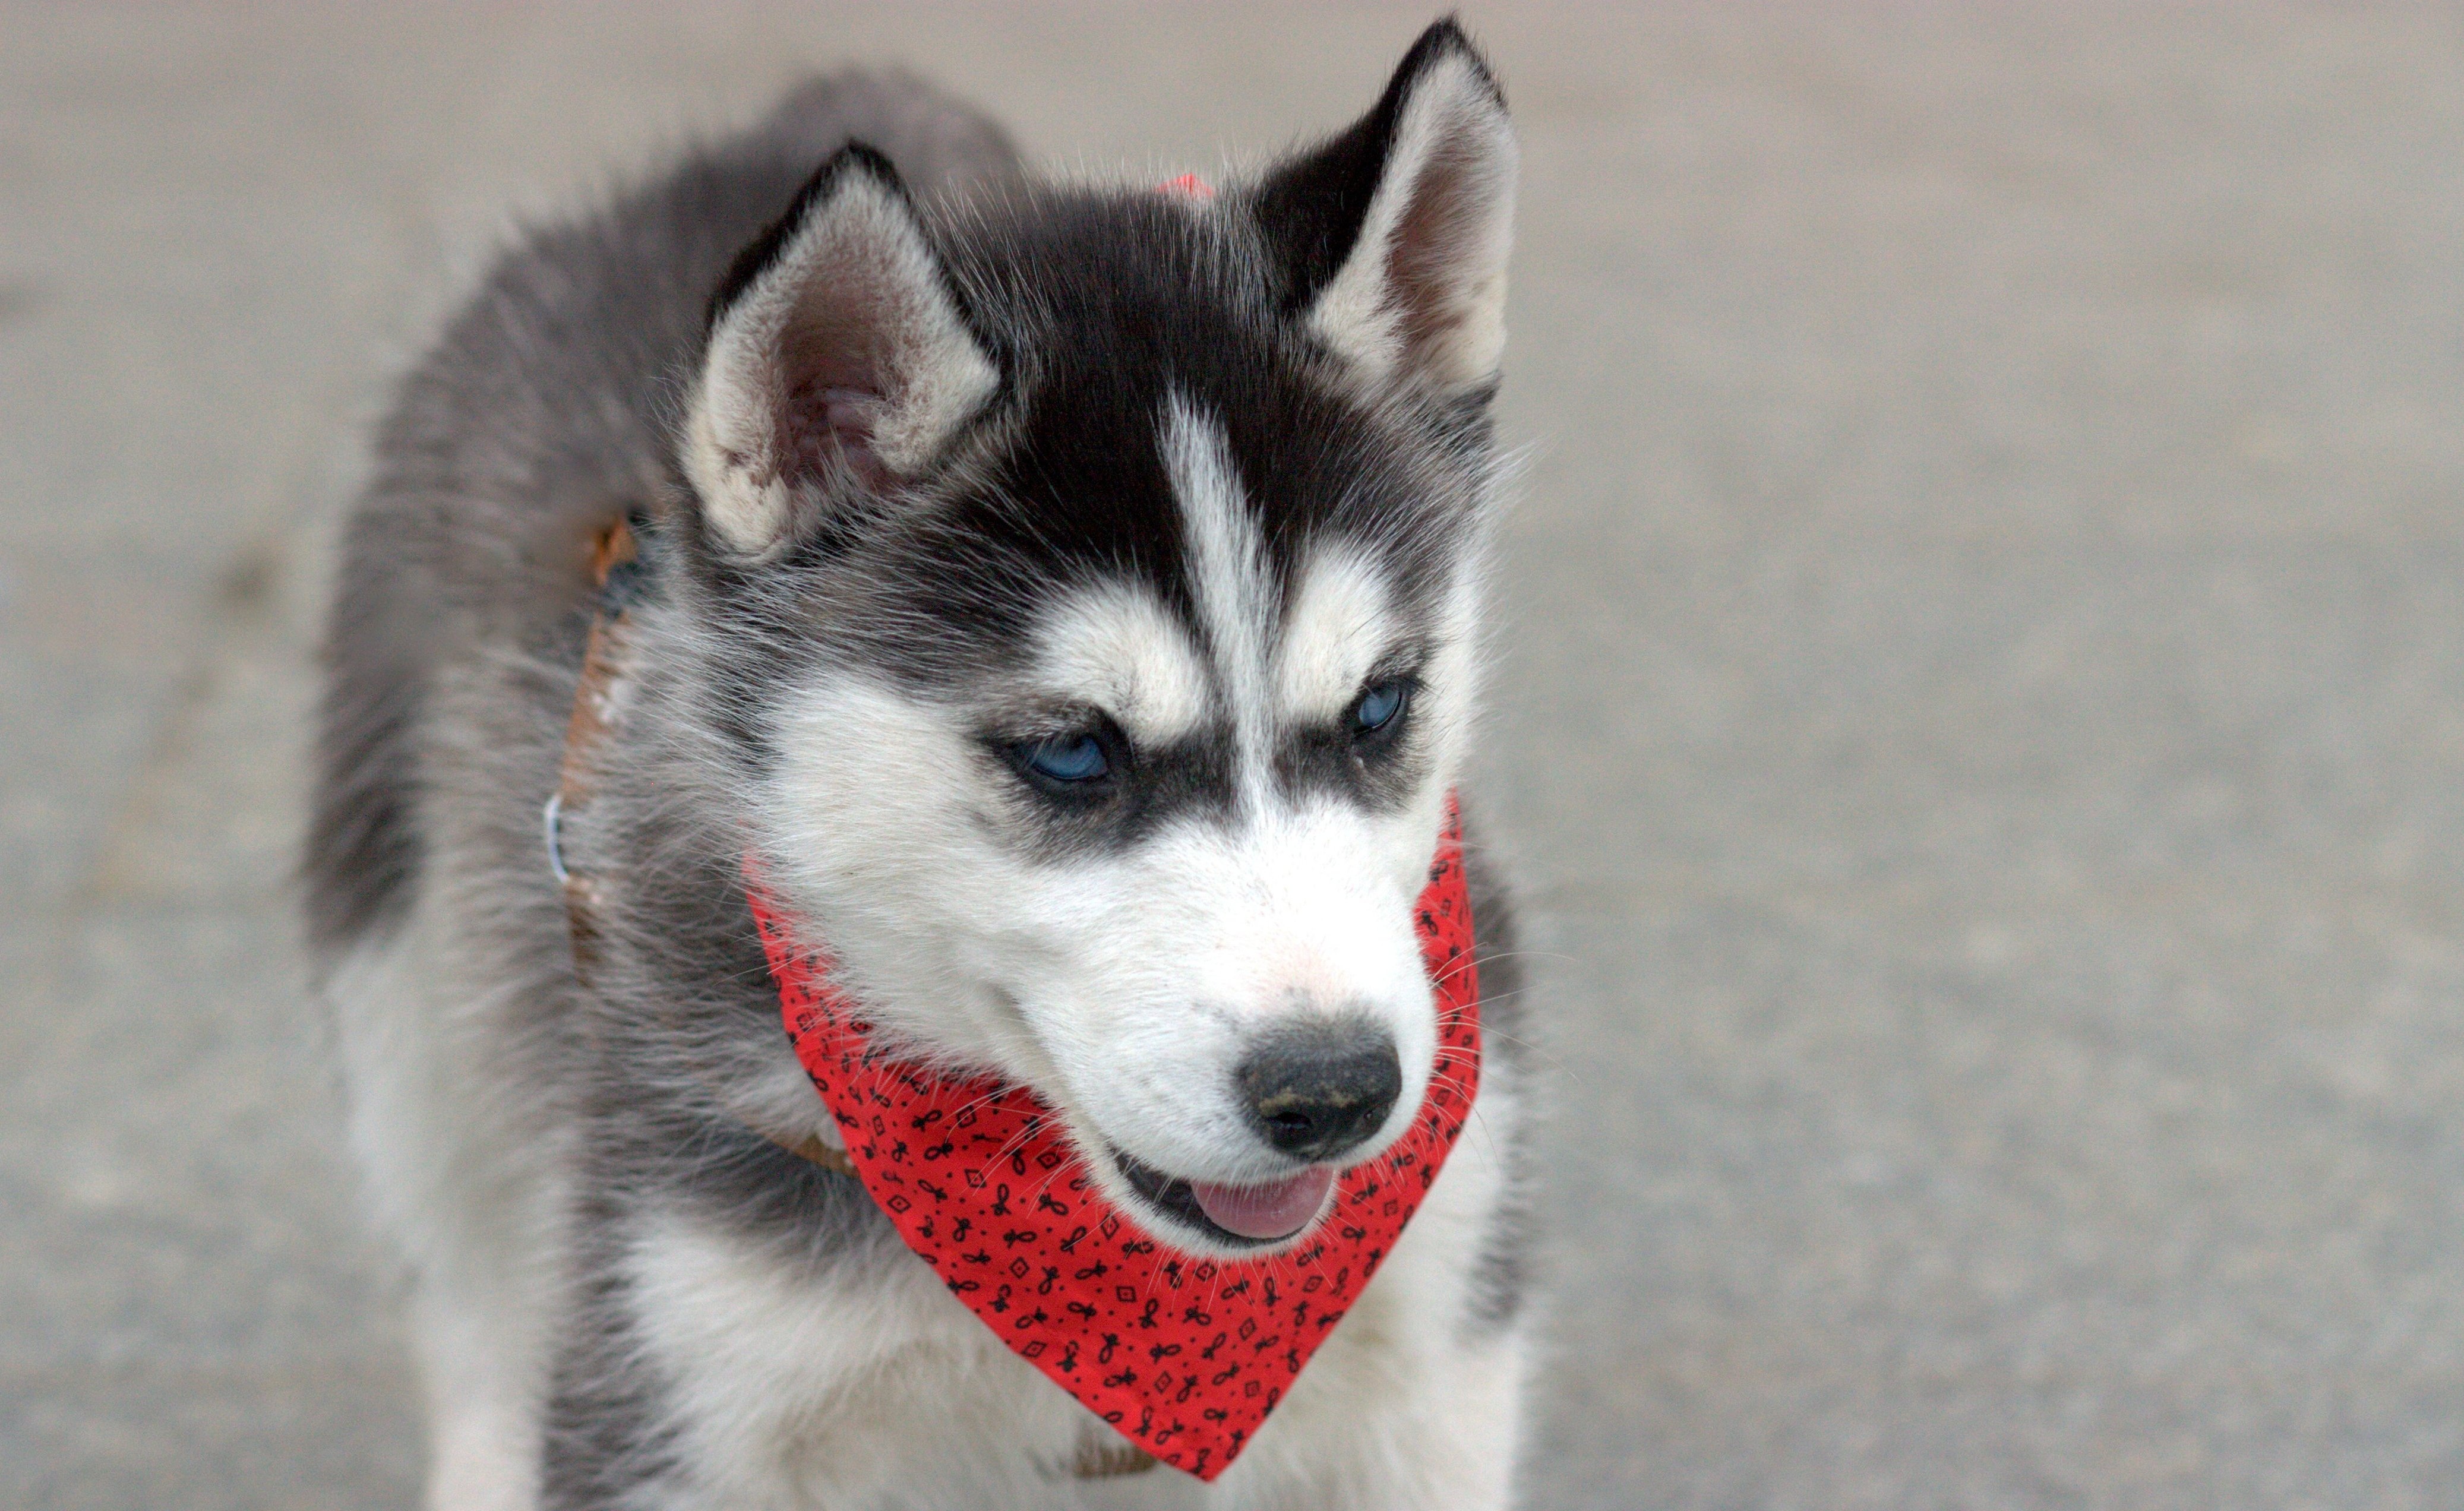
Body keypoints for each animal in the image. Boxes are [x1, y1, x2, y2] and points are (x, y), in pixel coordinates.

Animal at [310, 23, 1537, 1508]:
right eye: (1071, 752)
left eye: (1378, 708)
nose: (1337, 1093)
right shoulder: (677, 1373)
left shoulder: (1438, 1363)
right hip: (402, 992)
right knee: (474, 1292)